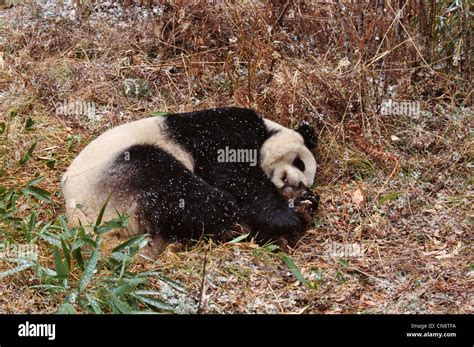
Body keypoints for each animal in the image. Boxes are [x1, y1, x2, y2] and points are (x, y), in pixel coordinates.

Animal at [62, 107, 318, 251]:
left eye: (306, 180)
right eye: (300, 163)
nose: (298, 184)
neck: (266, 129)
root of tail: (79, 222)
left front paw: (306, 200)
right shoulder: (227, 128)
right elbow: (237, 175)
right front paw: (286, 218)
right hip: (121, 176)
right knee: (179, 189)